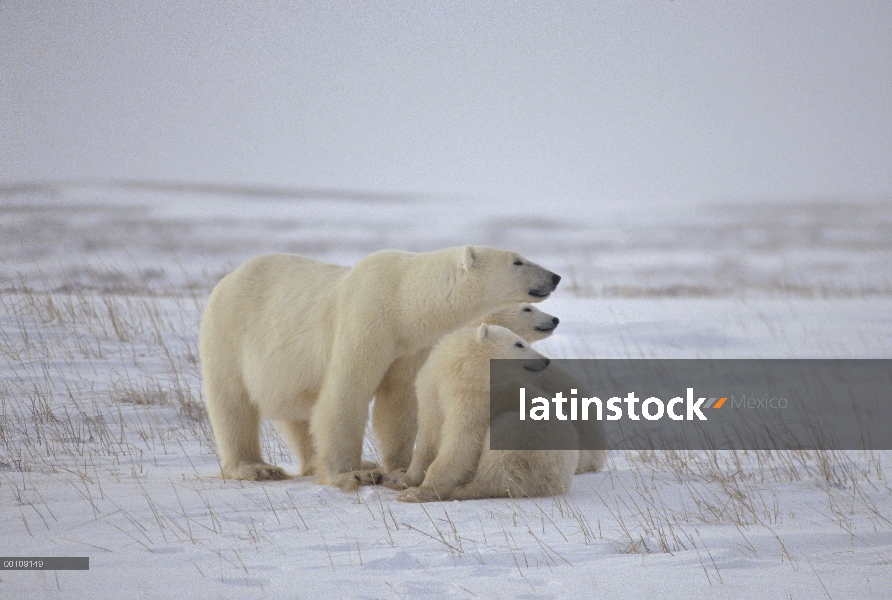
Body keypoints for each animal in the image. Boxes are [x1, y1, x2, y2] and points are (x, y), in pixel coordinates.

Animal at [200, 246, 556, 490]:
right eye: (517, 261)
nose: (554, 277)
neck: (402, 299)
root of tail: (228, 278)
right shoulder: (366, 319)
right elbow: (346, 392)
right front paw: (354, 472)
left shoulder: (409, 346)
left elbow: (398, 402)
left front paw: (397, 468)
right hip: (227, 334)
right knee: (231, 404)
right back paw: (255, 467)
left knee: (298, 414)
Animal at [386, 324, 580, 502]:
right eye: (519, 344)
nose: (545, 360)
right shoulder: (432, 391)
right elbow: (428, 436)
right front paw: (401, 479)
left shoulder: (476, 401)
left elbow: (462, 441)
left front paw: (417, 492)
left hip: (537, 447)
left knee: (502, 455)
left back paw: (461, 490)